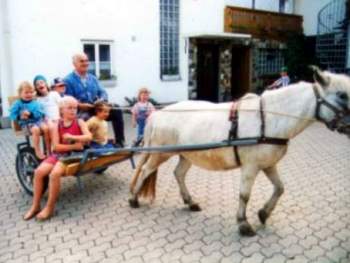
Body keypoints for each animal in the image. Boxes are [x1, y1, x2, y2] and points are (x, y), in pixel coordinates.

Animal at [129, 68, 350, 237]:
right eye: (342, 95)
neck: (268, 118)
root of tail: (157, 114)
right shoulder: (251, 167)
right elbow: (244, 195)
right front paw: (243, 224)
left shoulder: (268, 164)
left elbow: (279, 188)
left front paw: (263, 213)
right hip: (160, 153)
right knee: (146, 170)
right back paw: (133, 199)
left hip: (187, 154)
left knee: (179, 174)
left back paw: (190, 202)